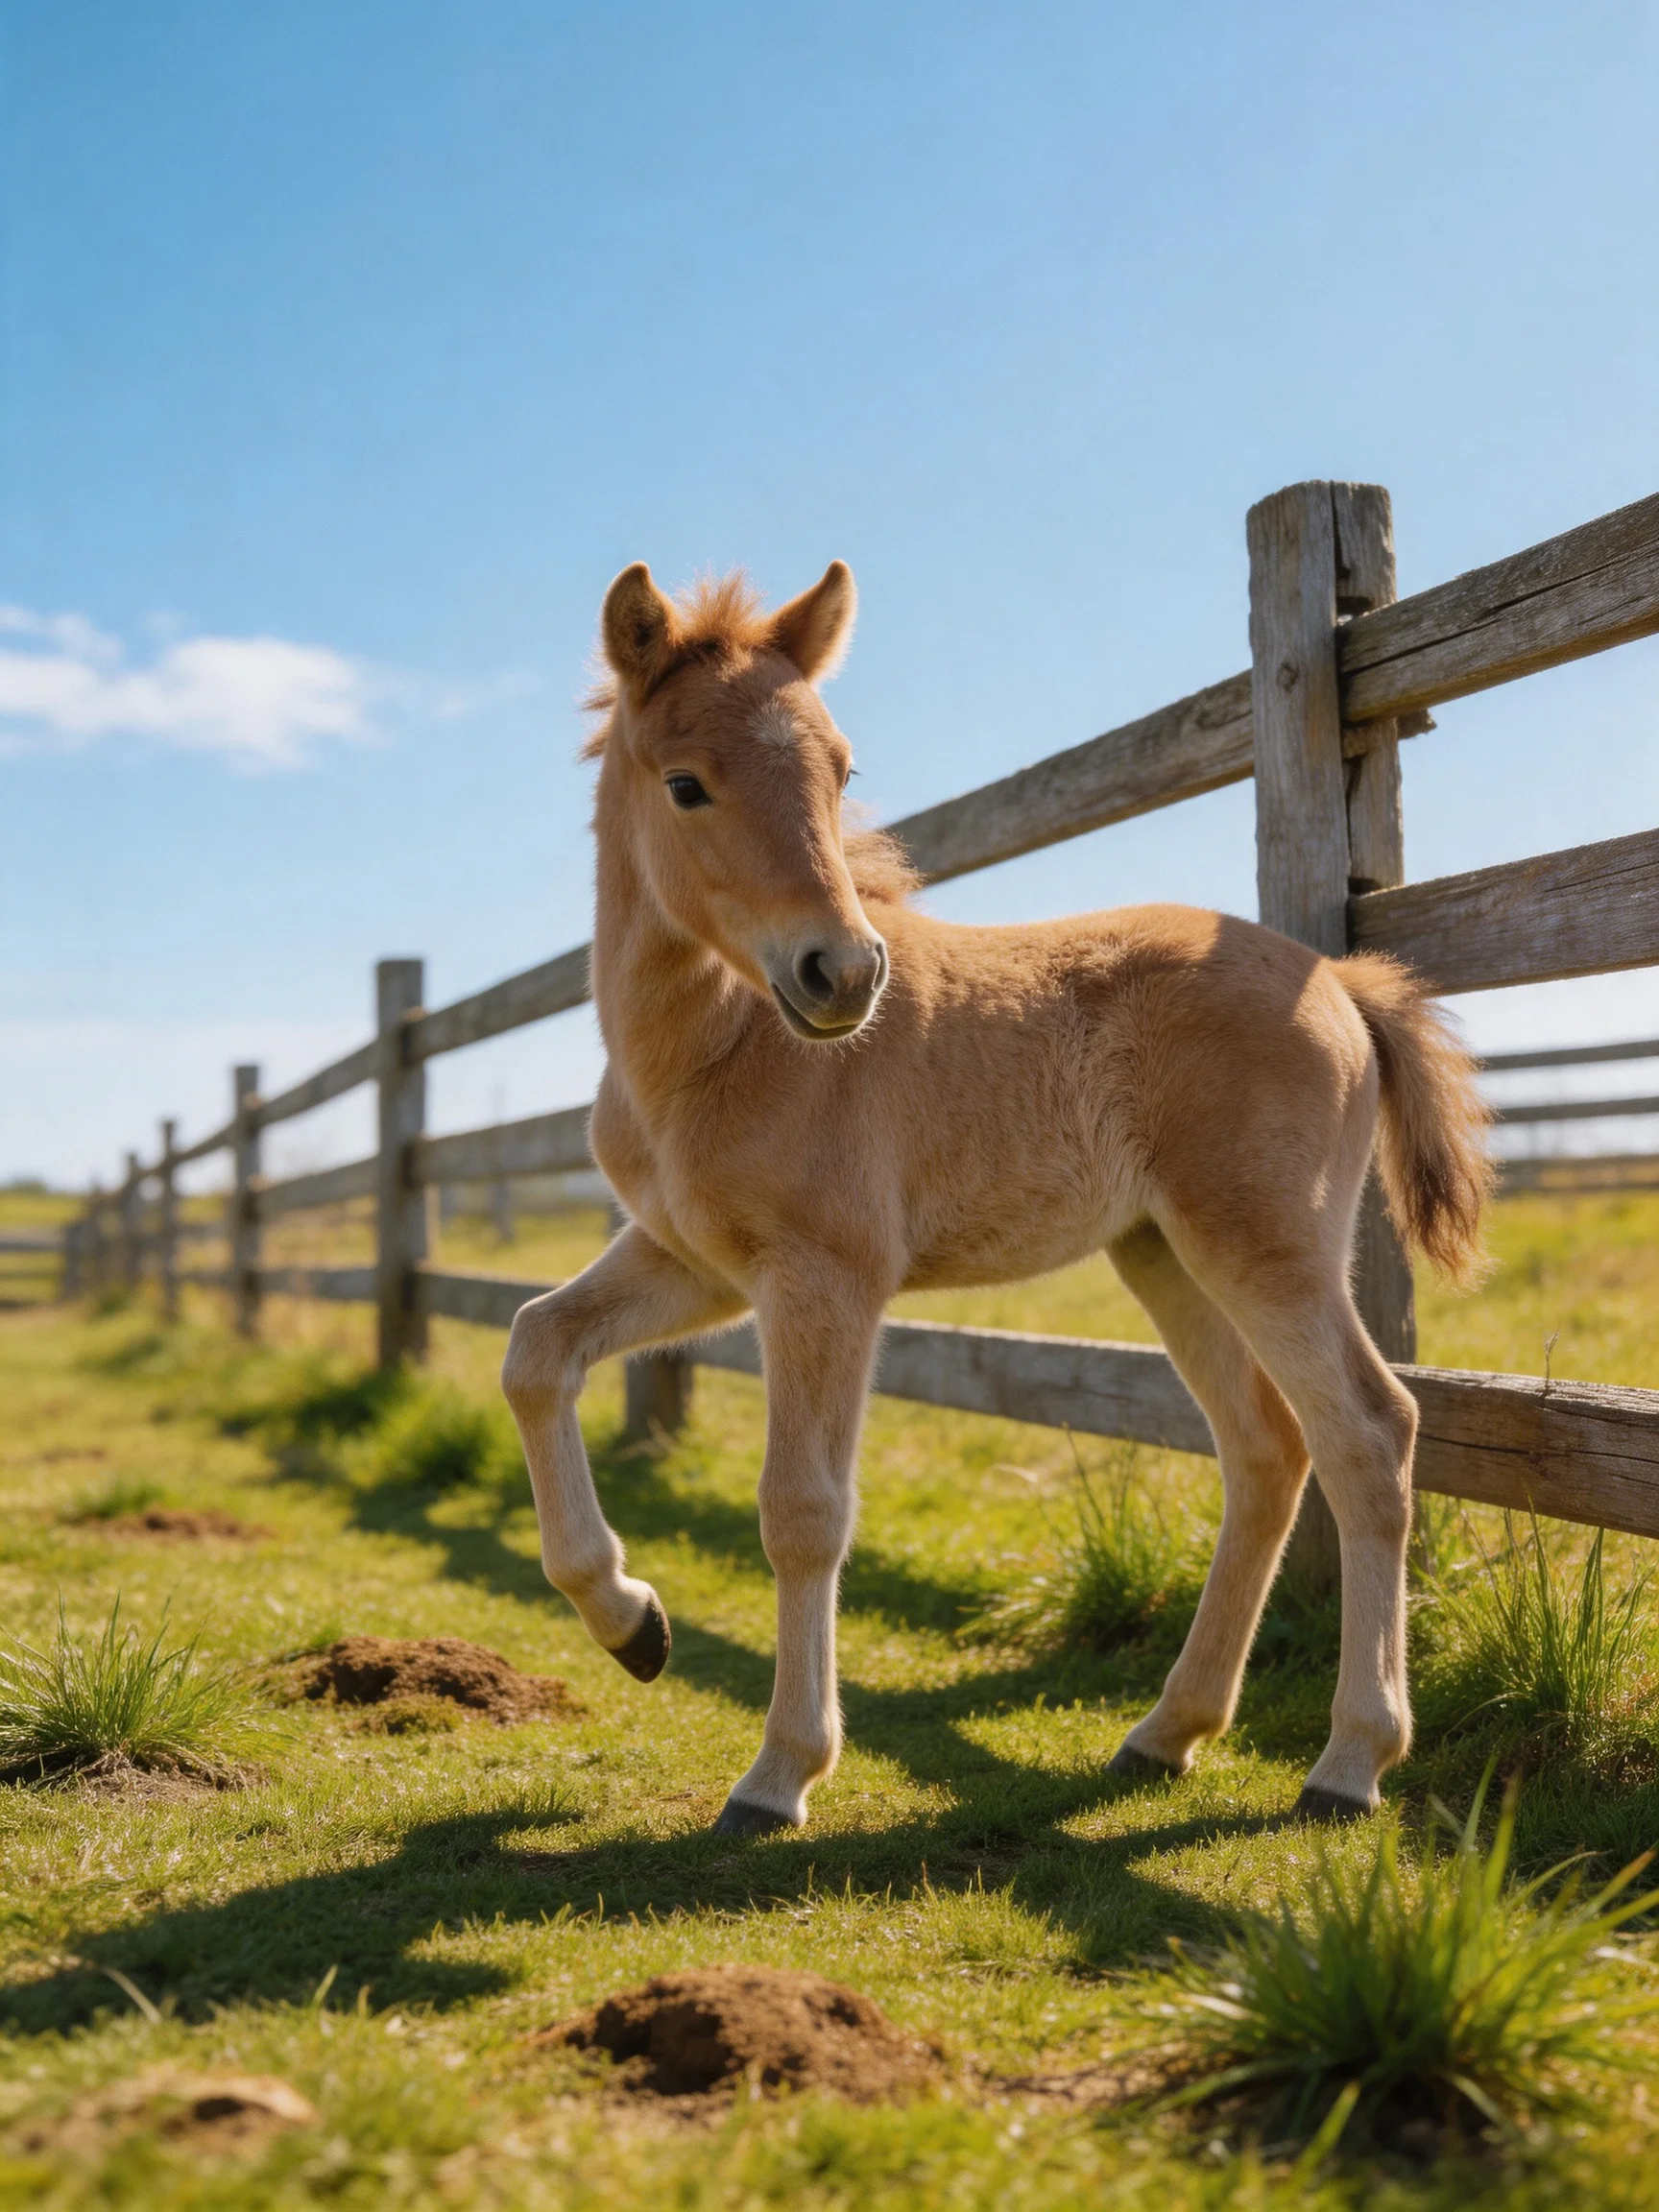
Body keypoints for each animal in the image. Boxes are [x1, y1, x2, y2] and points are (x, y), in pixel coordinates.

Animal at [501, 559, 1491, 1834]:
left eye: (840, 770)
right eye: (685, 784)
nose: (843, 974)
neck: (722, 1044)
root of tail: (1341, 978)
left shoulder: (825, 1276)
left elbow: (805, 1511)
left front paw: (780, 1774)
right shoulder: (695, 1262)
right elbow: (535, 1348)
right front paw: (632, 1623)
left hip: (1266, 1249)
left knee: (1369, 1434)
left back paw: (1351, 1760)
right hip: (1162, 1252)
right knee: (1267, 1449)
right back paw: (1166, 1734)